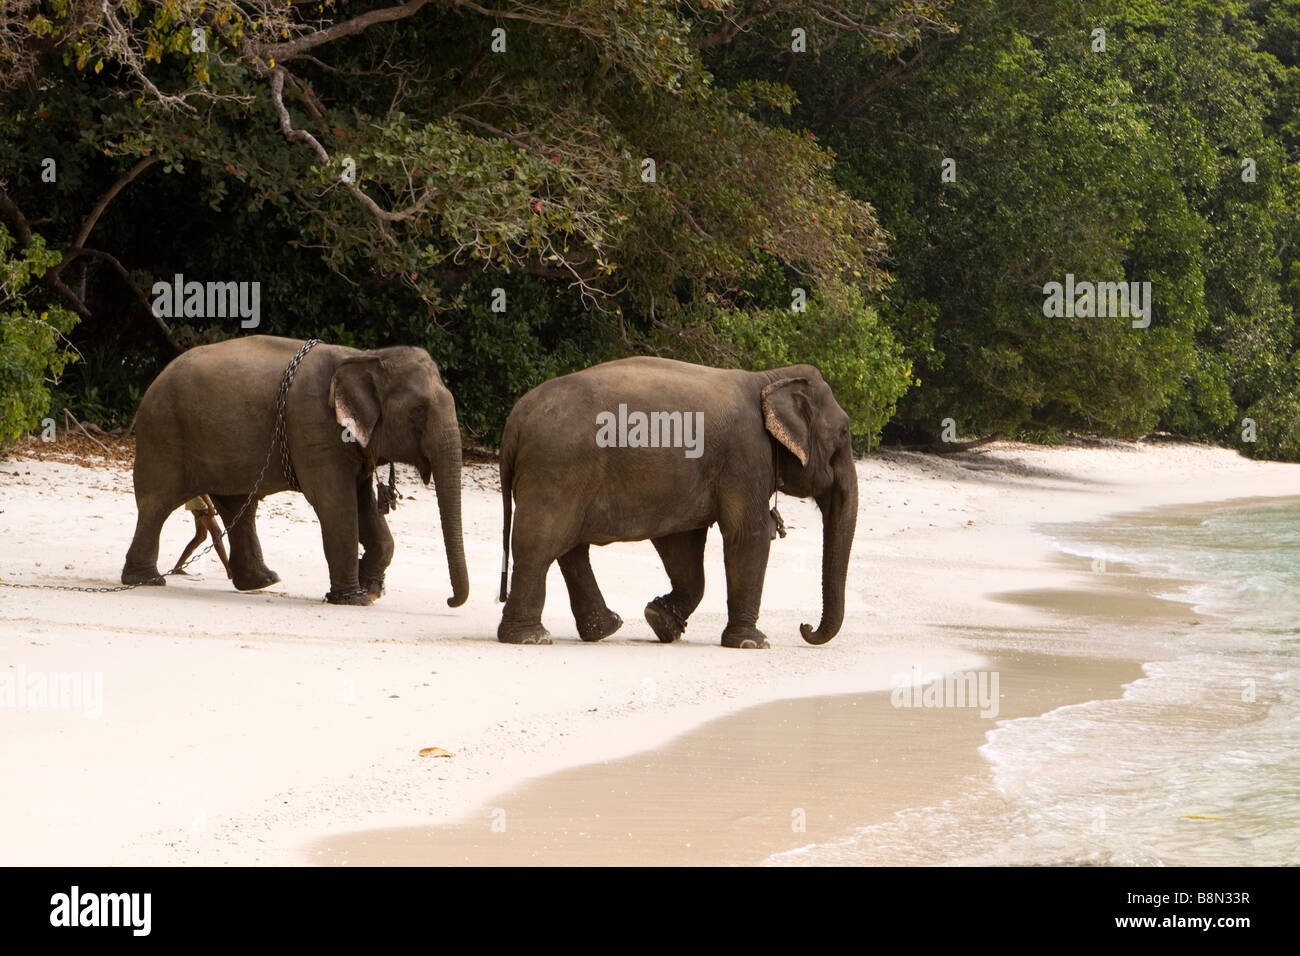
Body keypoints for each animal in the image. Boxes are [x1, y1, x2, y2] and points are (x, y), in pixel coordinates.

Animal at [119, 335, 470, 606]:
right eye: (418, 411)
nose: (450, 600)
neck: (365, 355)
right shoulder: (313, 427)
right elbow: (336, 506)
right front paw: (352, 598)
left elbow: (365, 507)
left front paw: (369, 589)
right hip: (164, 432)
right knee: (157, 503)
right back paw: (146, 580)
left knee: (238, 506)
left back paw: (263, 581)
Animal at [493, 358, 852, 650]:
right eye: (844, 435)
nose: (805, 626)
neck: (769, 378)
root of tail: (515, 421)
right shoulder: (746, 456)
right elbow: (748, 533)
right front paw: (753, 643)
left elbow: (682, 544)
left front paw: (660, 622)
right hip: (556, 467)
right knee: (541, 543)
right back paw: (531, 638)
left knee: (568, 546)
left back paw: (602, 629)